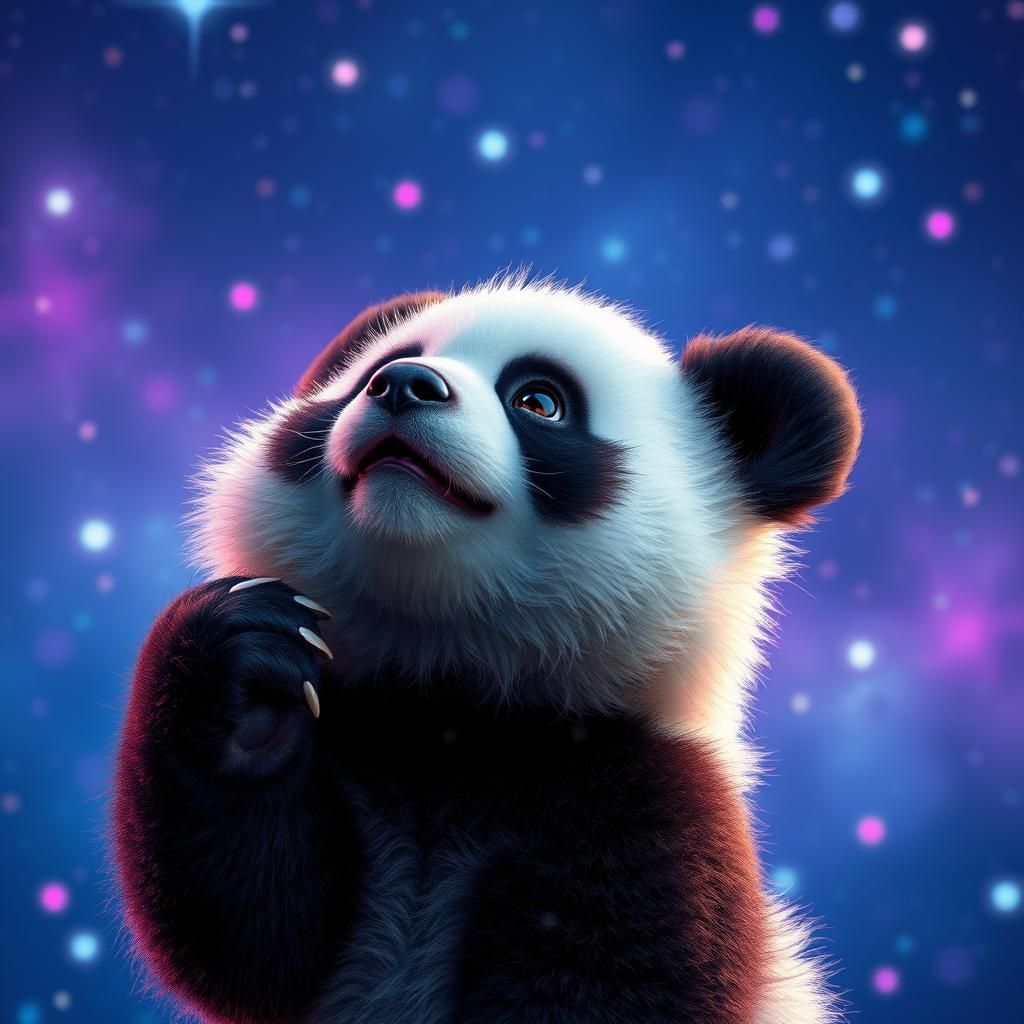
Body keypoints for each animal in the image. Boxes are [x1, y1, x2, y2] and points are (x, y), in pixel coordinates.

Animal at [114, 275, 861, 1024]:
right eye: (384, 364)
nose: (404, 385)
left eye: (540, 400)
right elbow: (256, 927)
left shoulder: (649, 797)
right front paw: (248, 674)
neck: (454, 709)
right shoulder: (359, 736)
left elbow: (609, 978)